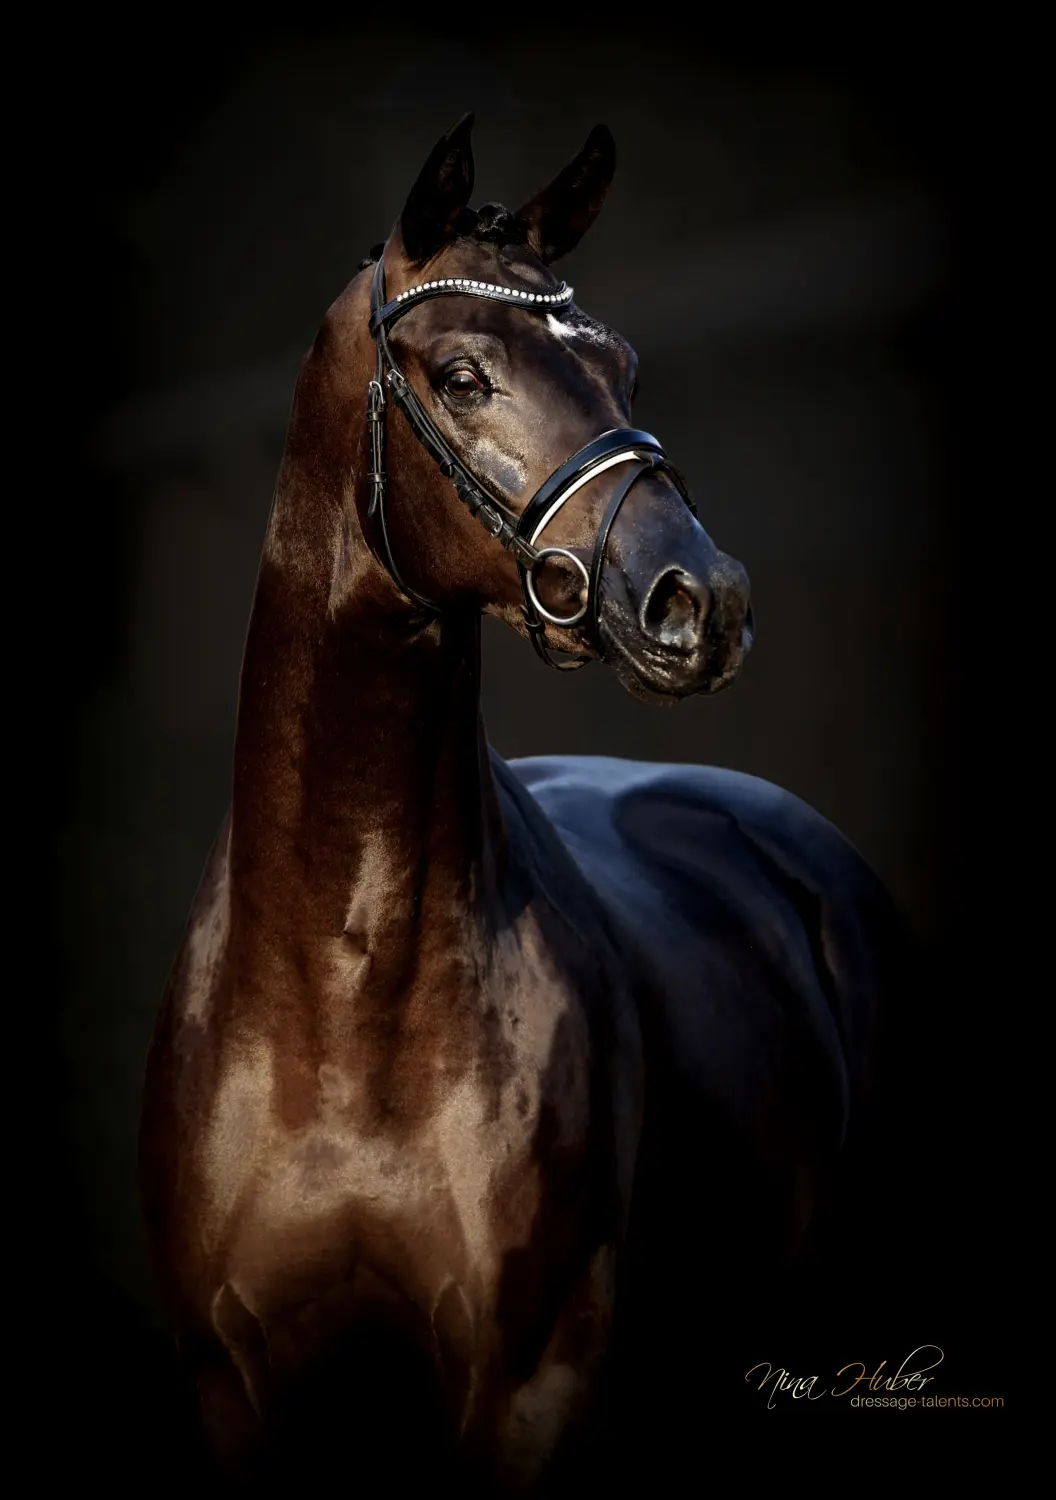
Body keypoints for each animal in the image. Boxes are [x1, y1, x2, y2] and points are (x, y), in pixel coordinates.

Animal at [139, 113, 908, 1492]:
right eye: (460, 376)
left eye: (623, 368)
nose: (700, 601)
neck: (338, 1019)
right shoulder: (229, 1387)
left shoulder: (532, 1384)